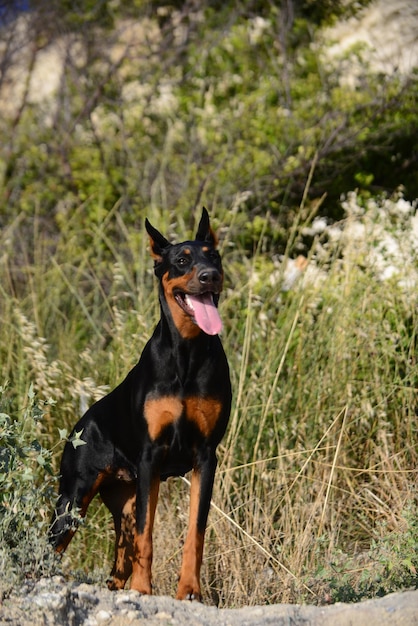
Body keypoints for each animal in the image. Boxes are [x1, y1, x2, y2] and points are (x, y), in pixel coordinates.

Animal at [49, 207, 232, 596]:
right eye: (182, 260)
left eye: (215, 256)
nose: (209, 277)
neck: (187, 353)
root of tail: (82, 423)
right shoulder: (152, 456)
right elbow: (147, 536)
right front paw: (143, 590)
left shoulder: (206, 455)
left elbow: (195, 532)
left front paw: (189, 591)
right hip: (74, 497)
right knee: (52, 546)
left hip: (125, 502)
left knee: (118, 564)